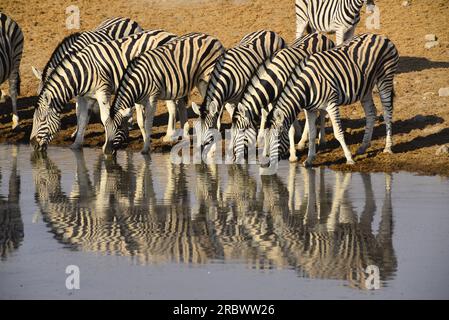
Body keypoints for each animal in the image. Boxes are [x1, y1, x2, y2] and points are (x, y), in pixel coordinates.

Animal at [28, 28, 177, 151]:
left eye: (42, 119)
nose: (32, 144)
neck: (82, 71)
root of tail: (169, 33)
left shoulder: (102, 92)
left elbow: (104, 118)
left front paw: (107, 143)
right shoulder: (85, 96)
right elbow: (82, 117)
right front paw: (76, 144)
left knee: (171, 105)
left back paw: (169, 135)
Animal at [191, 30, 286, 158]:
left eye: (210, 128)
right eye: (196, 128)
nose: (199, 154)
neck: (226, 77)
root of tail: (270, 31)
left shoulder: (240, 99)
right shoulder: (225, 100)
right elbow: (225, 118)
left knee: (267, 111)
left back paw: (261, 135)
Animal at [228, 32, 332, 162]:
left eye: (241, 132)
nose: (233, 158)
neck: (275, 77)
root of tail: (320, 35)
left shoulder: (287, 97)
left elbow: (289, 128)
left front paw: (292, 156)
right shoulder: (274, 101)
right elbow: (267, 121)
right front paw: (266, 152)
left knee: (322, 112)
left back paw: (320, 140)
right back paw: (304, 141)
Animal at [262, 33, 400, 168]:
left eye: (277, 138)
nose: (266, 164)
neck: (307, 85)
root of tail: (381, 37)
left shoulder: (331, 104)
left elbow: (338, 133)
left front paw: (349, 159)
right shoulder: (311, 109)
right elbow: (312, 134)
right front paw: (309, 160)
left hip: (385, 78)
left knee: (387, 113)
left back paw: (388, 147)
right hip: (365, 87)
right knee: (371, 113)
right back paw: (363, 147)